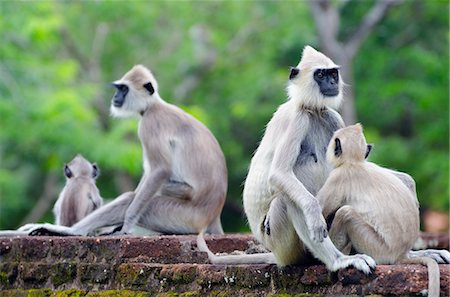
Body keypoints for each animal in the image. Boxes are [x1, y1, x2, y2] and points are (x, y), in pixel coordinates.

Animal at [13, 65, 227, 236]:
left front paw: (127, 224)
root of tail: (213, 215)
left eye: (123, 89)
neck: (153, 106)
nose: (115, 97)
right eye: (118, 89)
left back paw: (72, 231)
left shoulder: (149, 124)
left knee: (131, 198)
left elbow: (160, 171)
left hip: (182, 215)